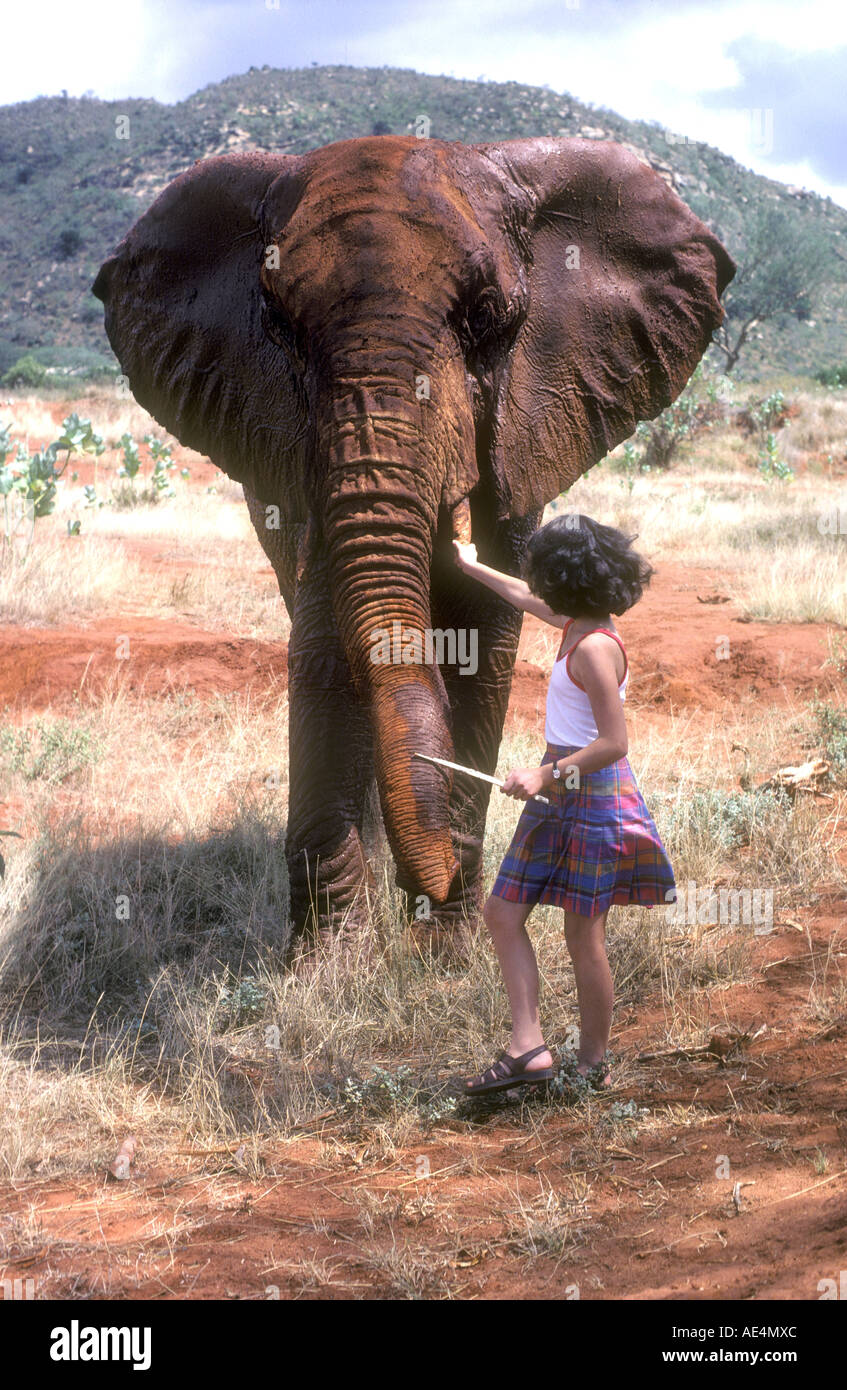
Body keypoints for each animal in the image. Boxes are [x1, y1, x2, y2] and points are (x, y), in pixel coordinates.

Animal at [89, 135, 728, 961]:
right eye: (279, 325)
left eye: (485, 316)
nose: (424, 889)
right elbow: (326, 647)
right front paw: (328, 967)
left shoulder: (521, 436)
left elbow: (482, 643)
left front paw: (446, 954)